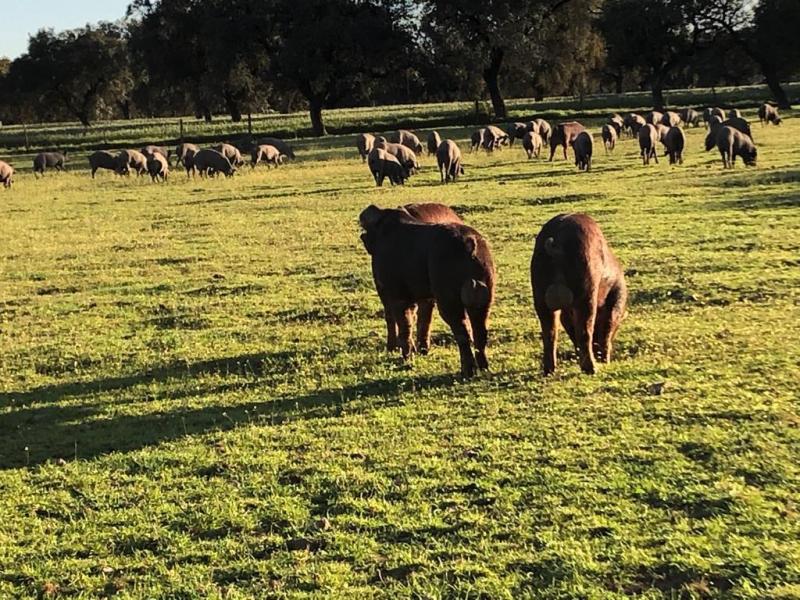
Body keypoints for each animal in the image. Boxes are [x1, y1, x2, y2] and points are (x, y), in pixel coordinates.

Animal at [360, 204, 494, 378]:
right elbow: (422, 320)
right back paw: (483, 367)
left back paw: (467, 369)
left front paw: (407, 356)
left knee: (462, 332)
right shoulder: (421, 298)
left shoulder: (397, 296)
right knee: (479, 331)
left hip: (448, 302)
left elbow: (405, 325)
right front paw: (420, 350)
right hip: (485, 299)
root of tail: (470, 245)